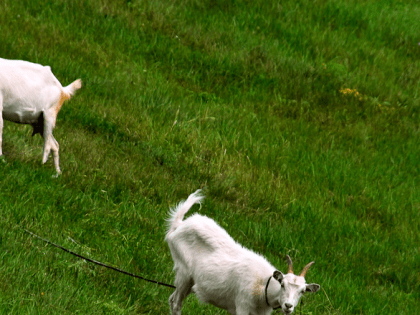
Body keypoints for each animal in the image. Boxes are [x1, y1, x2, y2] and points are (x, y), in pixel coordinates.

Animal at [166, 190, 320, 315]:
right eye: (282, 284)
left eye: (302, 291)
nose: (288, 306)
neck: (262, 285)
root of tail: (179, 225)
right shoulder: (242, 304)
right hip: (184, 273)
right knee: (176, 303)